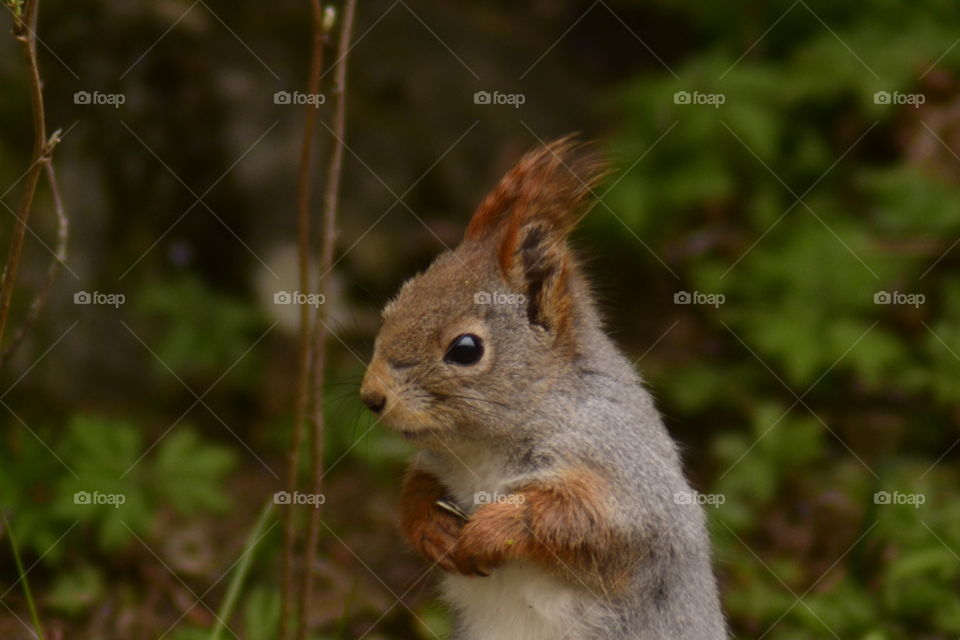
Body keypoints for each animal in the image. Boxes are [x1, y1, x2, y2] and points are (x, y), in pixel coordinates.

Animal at [360, 138, 728, 636]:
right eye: (393, 306)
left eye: (466, 349)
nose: (371, 396)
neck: (482, 449)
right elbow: (416, 486)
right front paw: (431, 527)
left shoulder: (622, 468)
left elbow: (586, 522)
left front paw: (493, 529)